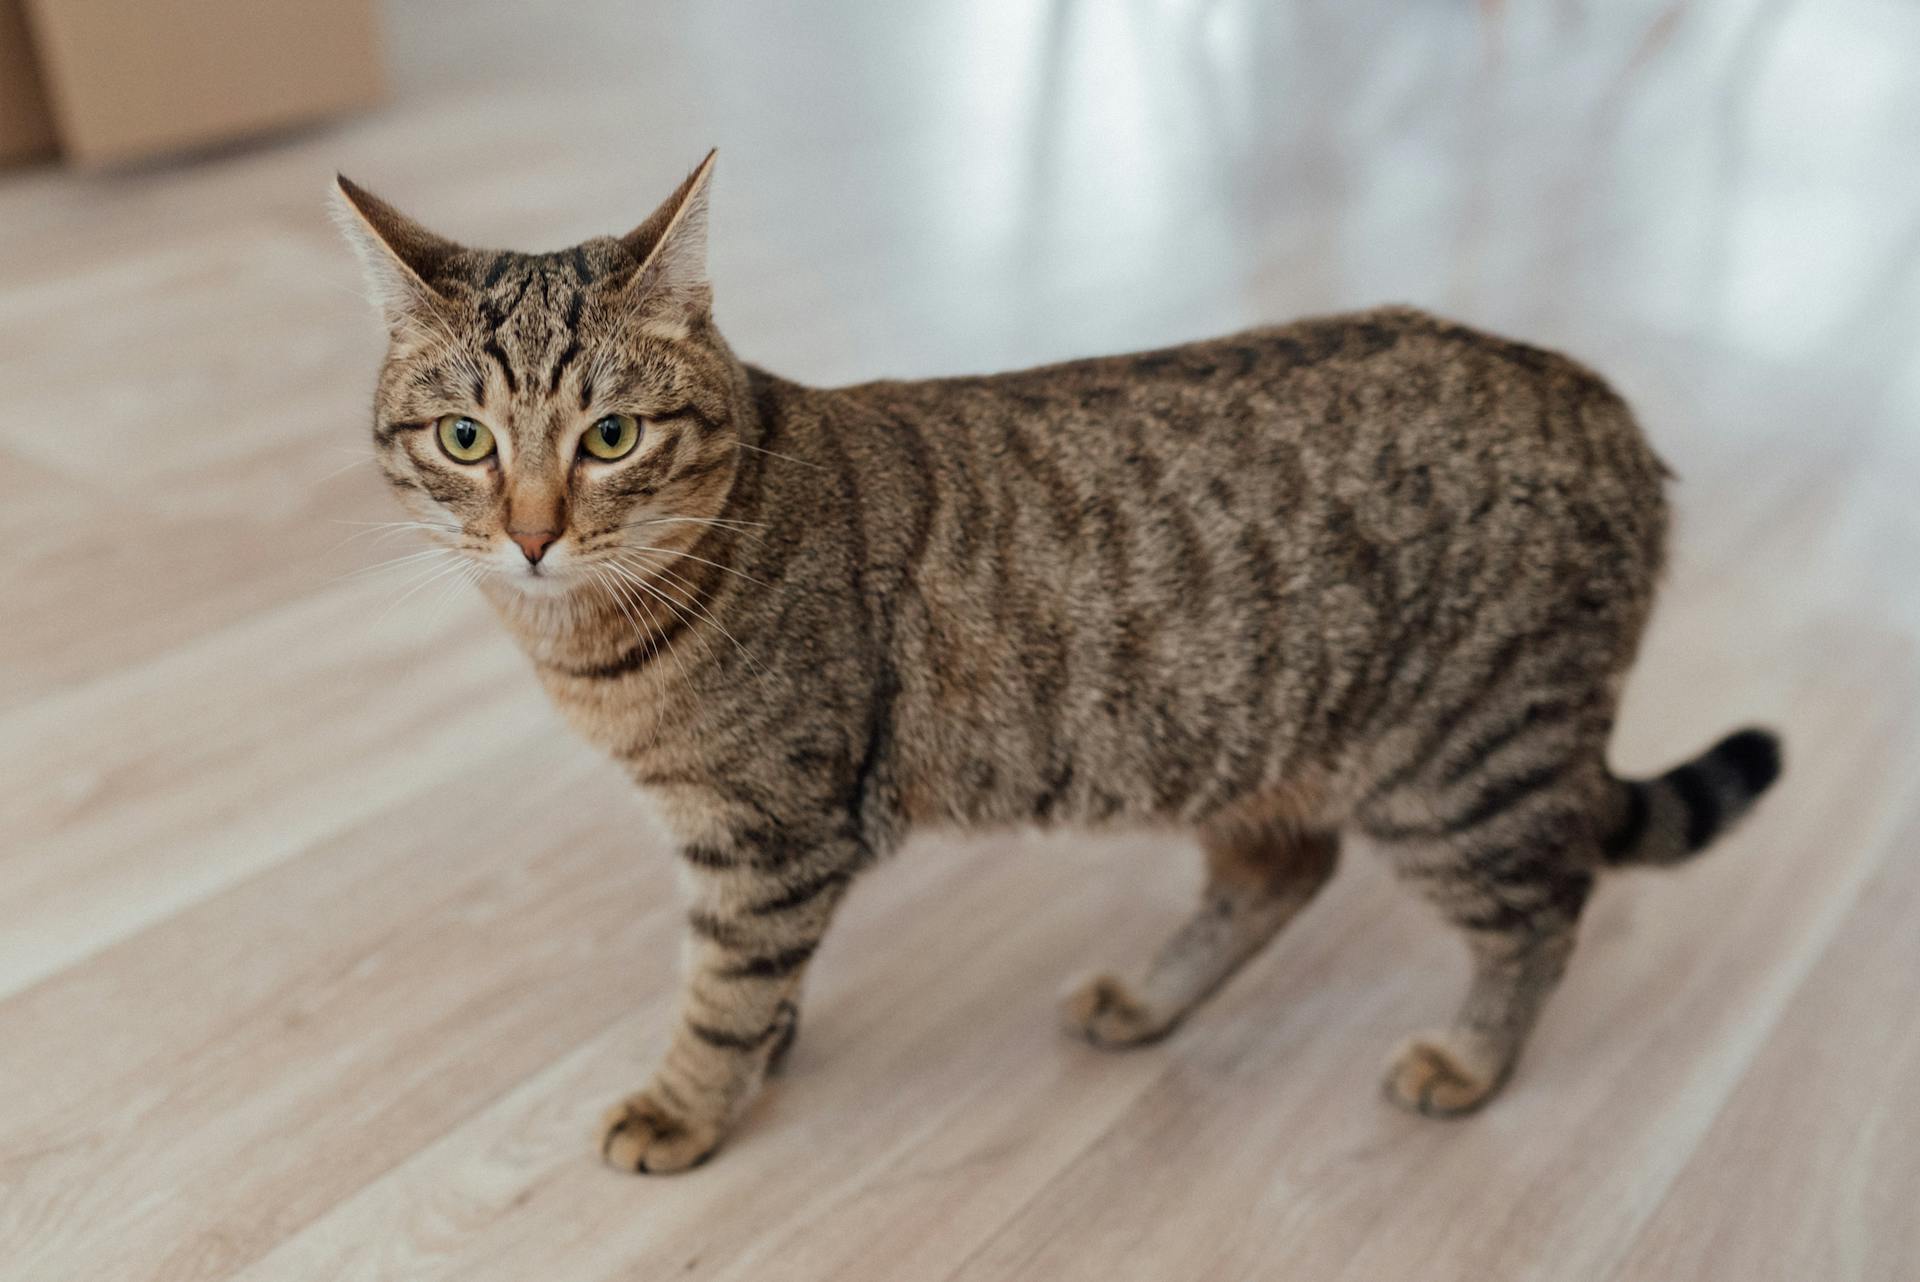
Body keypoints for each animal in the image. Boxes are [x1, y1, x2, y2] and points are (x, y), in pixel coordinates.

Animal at [334, 150, 1781, 1174]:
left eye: (612, 436)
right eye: (465, 439)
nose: (531, 534)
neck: (599, 640)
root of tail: (1609, 407)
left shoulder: (772, 830)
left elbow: (723, 992)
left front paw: (689, 1104)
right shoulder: (746, 842)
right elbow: (756, 984)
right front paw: (762, 1058)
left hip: (1461, 769)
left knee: (1546, 908)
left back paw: (1471, 1063)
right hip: (1249, 741)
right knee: (1284, 872)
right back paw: (1149, 999)